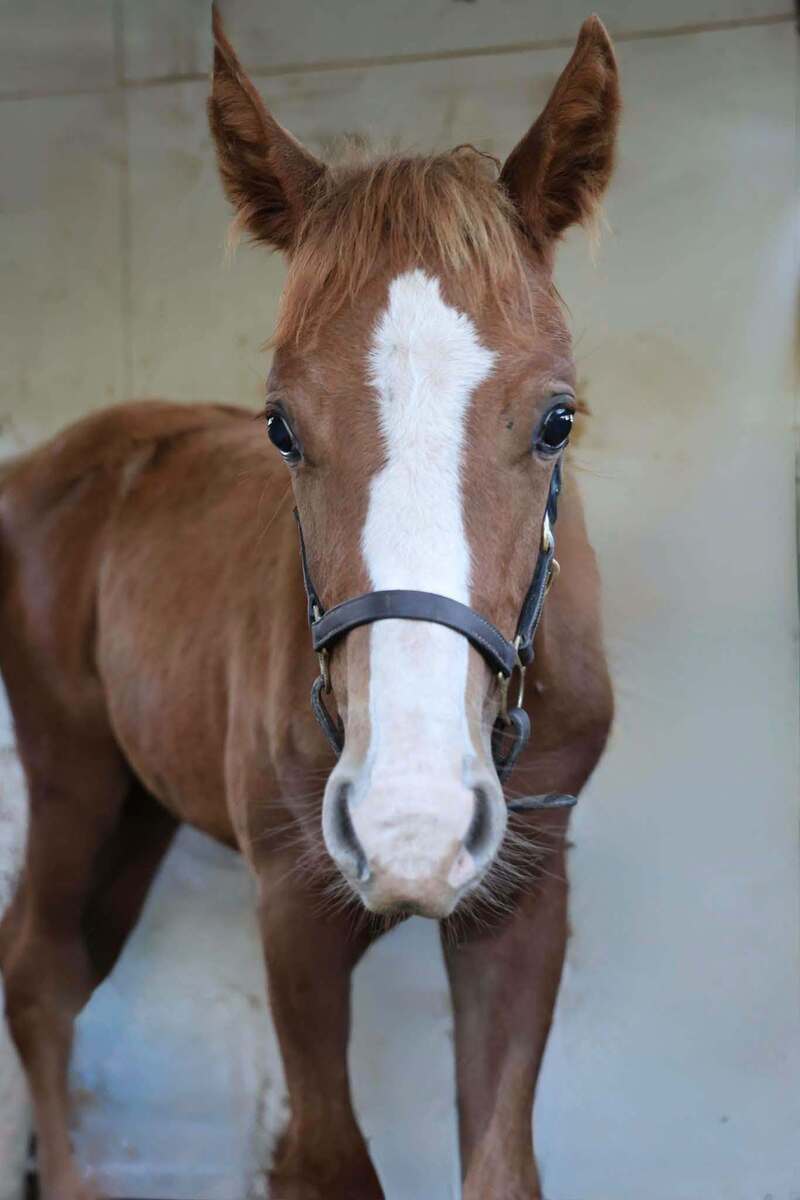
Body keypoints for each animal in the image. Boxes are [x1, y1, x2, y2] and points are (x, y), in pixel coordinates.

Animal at [0, 10, 618, 1199]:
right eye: (281, 425)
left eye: (558, 419)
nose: (410, 820)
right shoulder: (292, 905)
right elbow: (327, 1158)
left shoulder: (526, 898)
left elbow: (500, 1164)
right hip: (71, 774)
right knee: (40, 974)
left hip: (140, 803)